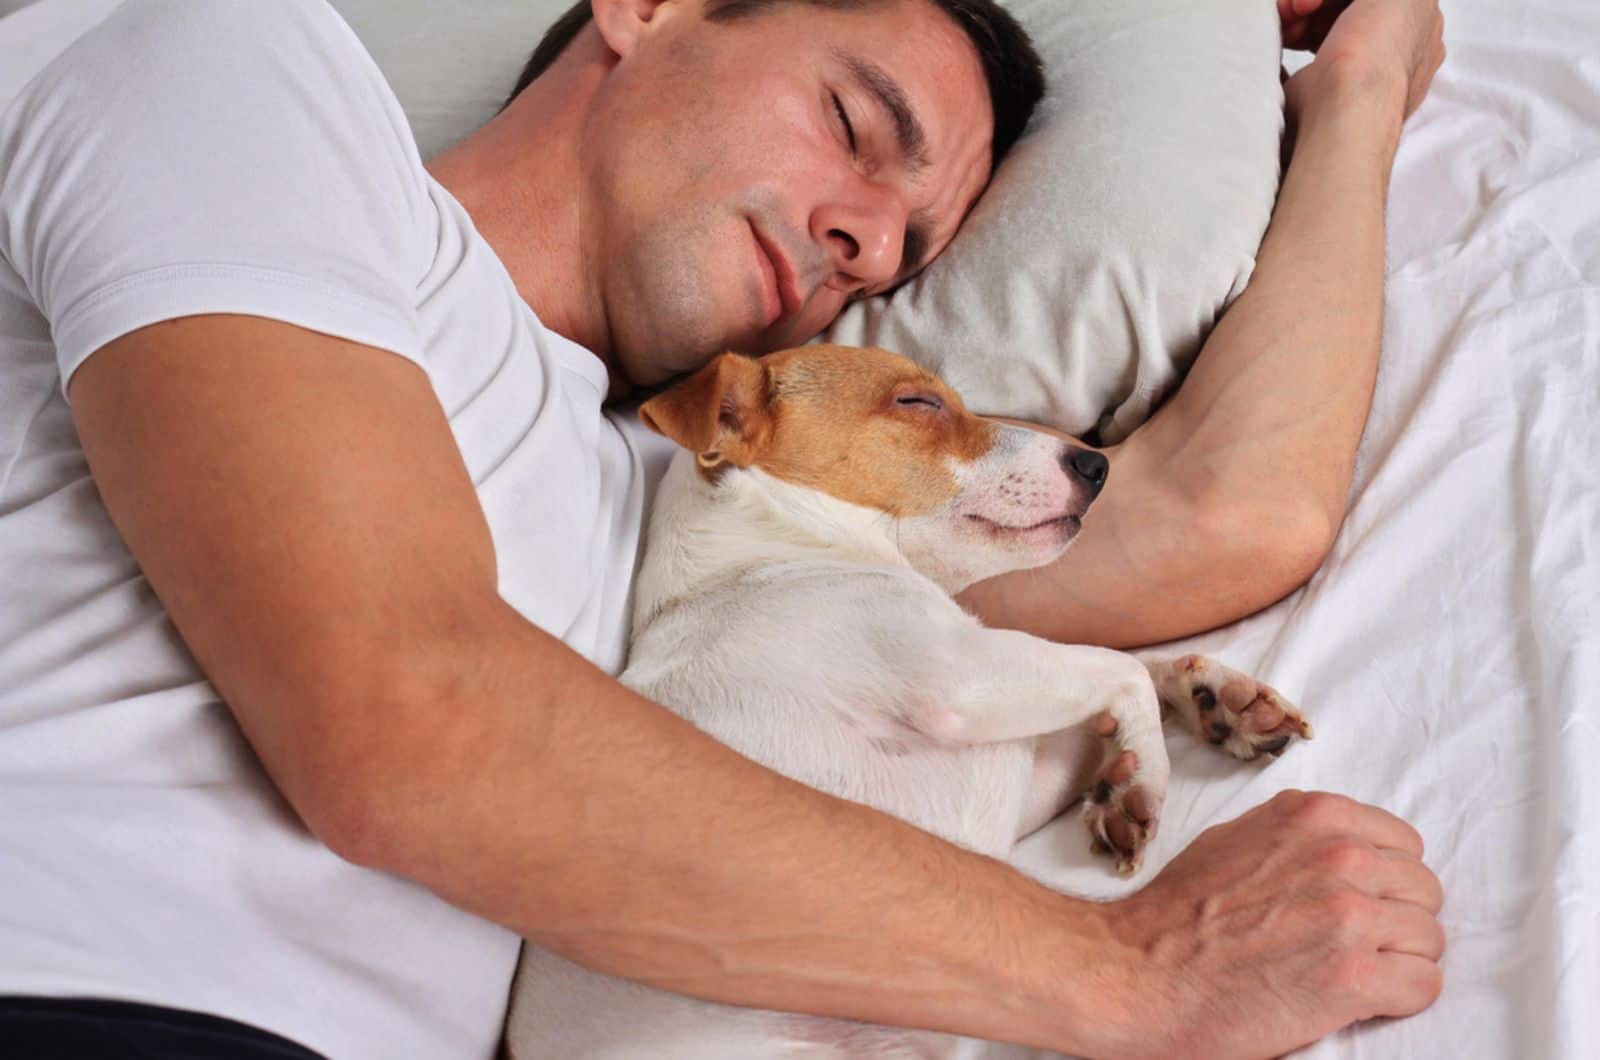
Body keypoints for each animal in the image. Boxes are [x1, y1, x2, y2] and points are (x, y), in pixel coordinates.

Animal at [508, 344, 1312, 1056]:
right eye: (916, 402)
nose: (1097, 463)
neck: (769, 552)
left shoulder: (1012, 759)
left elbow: (1124, 676)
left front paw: (1217, 696)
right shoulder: (959, 677)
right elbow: (1118, 668)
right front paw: (1144, 774)